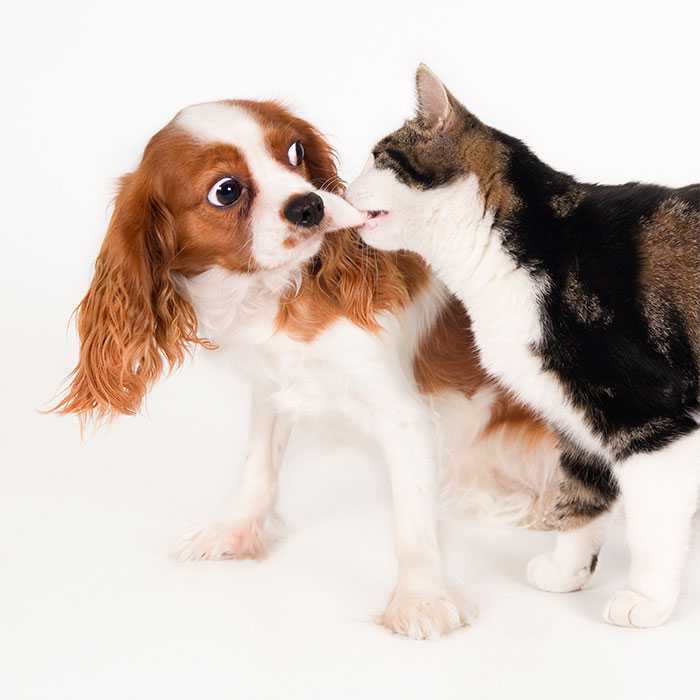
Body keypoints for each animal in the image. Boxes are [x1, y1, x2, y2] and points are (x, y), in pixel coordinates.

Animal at [53, 98, 564, 640]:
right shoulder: (272, 385)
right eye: (225, 191)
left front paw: (420, 598)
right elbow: (258, 466)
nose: (309, 205)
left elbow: (411, 521)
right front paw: (234, 531)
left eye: (295, 152)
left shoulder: (403, 416)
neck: (277, 292)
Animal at [348, 63, 700, 628]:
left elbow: (654, 522)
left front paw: (646, 599)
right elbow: (578, 494)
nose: (340, 188)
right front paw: (567, 571)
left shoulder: (645, 417)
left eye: (381, 157)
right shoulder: (573, 418)